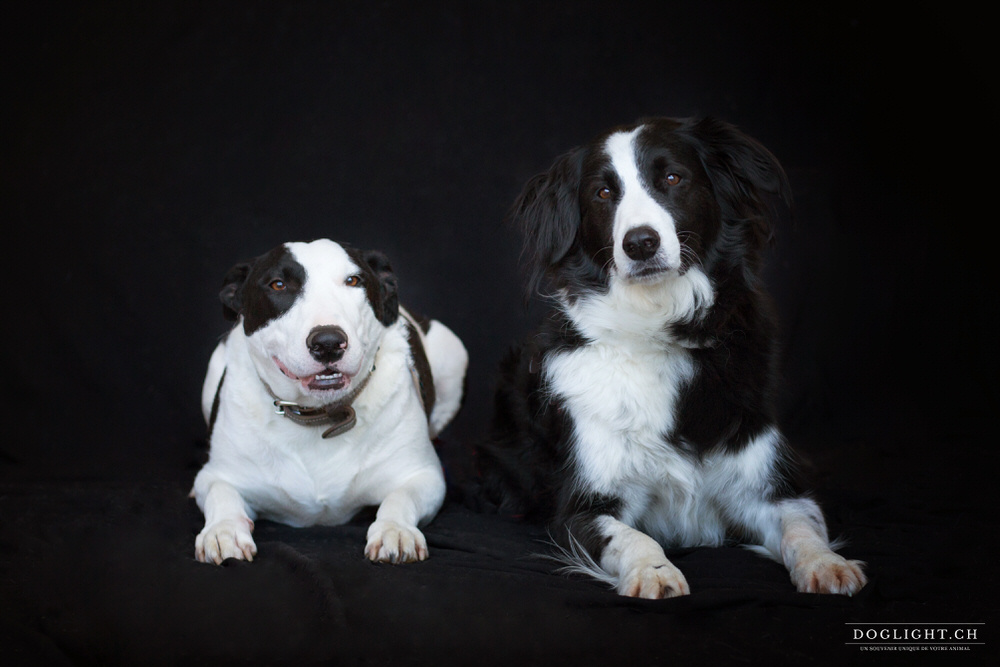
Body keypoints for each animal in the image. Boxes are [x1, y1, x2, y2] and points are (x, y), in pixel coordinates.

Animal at [195, 239, 468, 564]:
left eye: (353, 281)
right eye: (277, 284)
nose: (327, 342)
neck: (317, 414)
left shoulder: (424, 476)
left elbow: (401, 497)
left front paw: (395, 530)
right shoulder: (215, 475)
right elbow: (220, 493)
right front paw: (223, 530)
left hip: (454, 353)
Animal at [478, 116, 868, 600]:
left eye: (672, 178)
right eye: (603, 193)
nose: (640, 243)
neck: (655, 327)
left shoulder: (767, 483)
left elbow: (803, 524)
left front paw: (827, 563)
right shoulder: (584, 504)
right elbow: (632, 537)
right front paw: (654, 570)